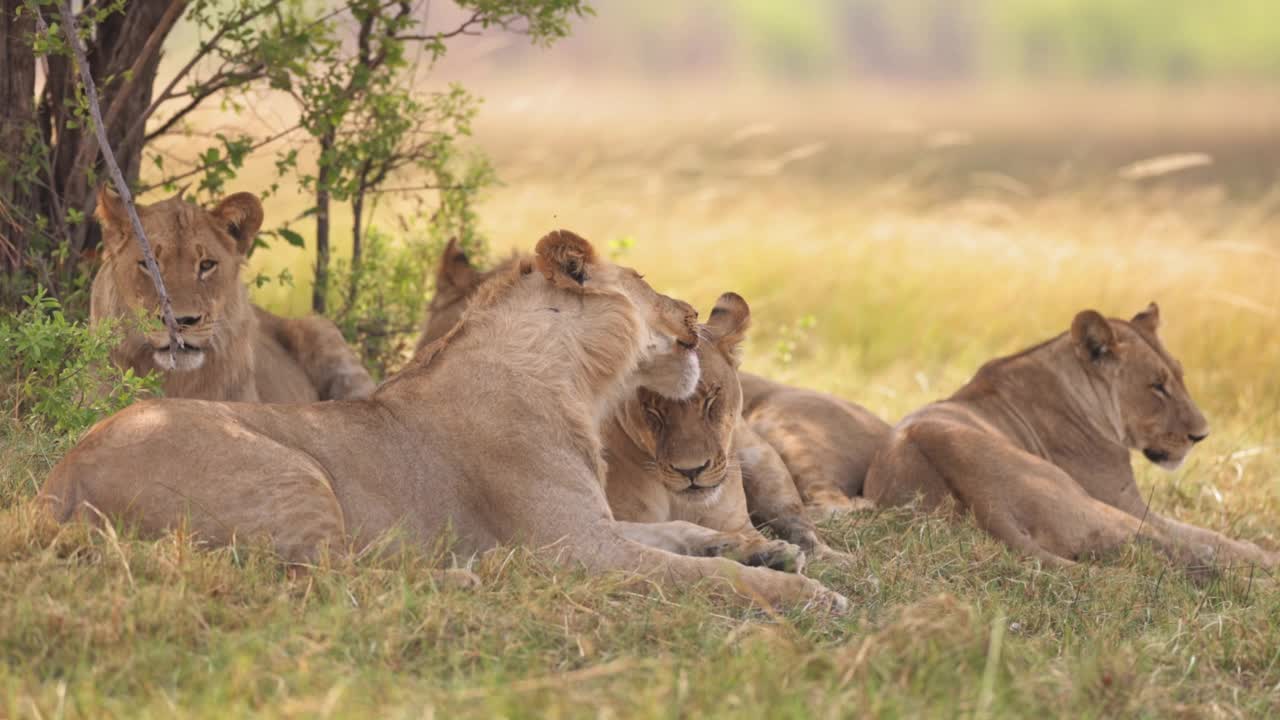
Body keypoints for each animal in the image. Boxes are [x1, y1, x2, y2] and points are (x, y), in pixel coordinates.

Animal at [40, 229, 844, 609]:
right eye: (645, 282)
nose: (691, 315)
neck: (576, 383)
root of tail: (59, 480)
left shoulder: (595, 526)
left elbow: (683, 535)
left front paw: (765, 550)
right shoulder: (576, 552)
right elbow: (701, 576)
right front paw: (808, 593)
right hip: (293, 471)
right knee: (319, 579)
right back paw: (468, 577)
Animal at [865, 299, 1274, 568]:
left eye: (1179, 375)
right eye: (1157, 386)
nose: (1202, 435)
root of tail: (984, 497)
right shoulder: (1128, 502)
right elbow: (1203, 533)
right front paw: (1263, 554)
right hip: (1093, 504)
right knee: (1173, 546)